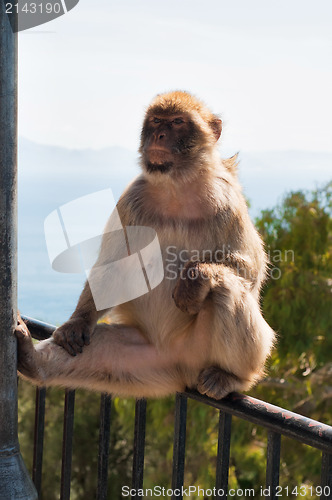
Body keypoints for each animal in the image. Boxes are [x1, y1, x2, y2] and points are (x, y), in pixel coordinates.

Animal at [14, 92, 274, 400]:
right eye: (156, 121)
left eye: (177, 122)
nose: (159, 135)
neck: (177, 189)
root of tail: (180, 369)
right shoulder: (130, 201)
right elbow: (111, 266)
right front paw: (77, 321)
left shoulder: (228, 203)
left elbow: (249, 272)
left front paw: (194, 279)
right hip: (145, 362)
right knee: (101, 347)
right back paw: (32, 361)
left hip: (208, 352)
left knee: (226, 288)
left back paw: (231, 377)